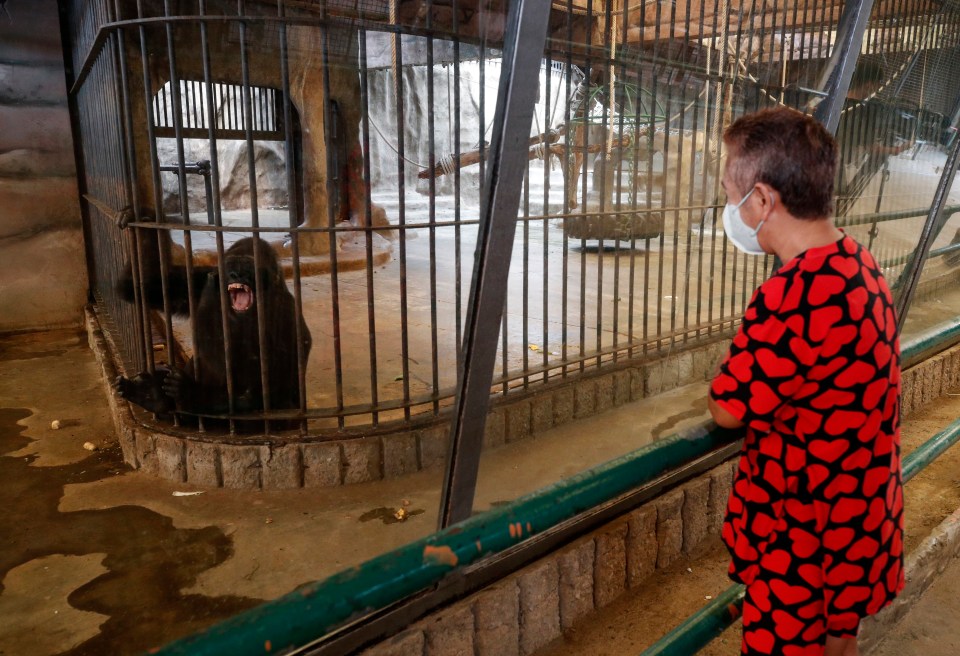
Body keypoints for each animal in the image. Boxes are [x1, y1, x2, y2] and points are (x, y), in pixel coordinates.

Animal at [116, 231, 312, 430]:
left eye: (248, 266)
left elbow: (272, 378)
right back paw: (153, 397)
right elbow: (145, 283)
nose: (237, 274)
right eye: (231, 266)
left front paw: (196, 394)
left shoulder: (285, 312)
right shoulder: (199, 278)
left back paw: (191, 396)